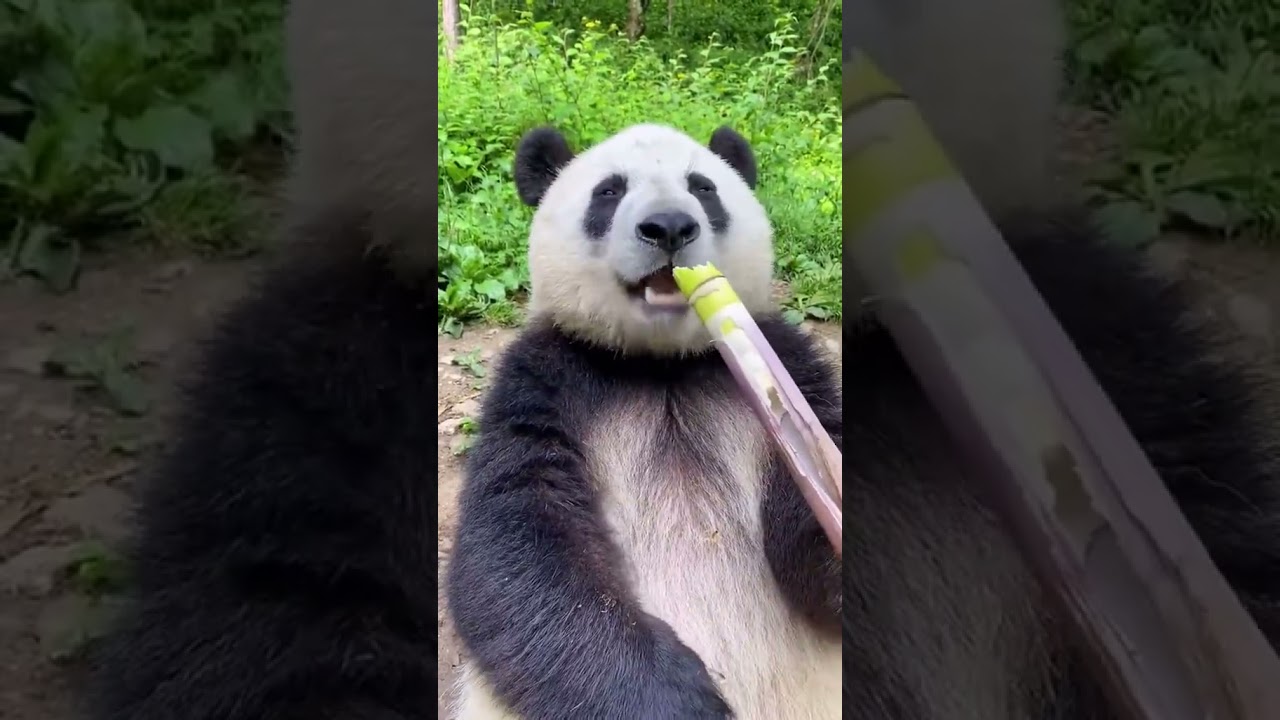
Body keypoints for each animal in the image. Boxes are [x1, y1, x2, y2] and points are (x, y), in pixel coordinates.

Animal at [444, 123, 843, 720]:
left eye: (703, 188)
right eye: (608, 192)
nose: (670, 226)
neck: (662, 366)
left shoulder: (788, 362)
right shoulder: (544, 380)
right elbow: (516, 542)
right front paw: (680, 701)